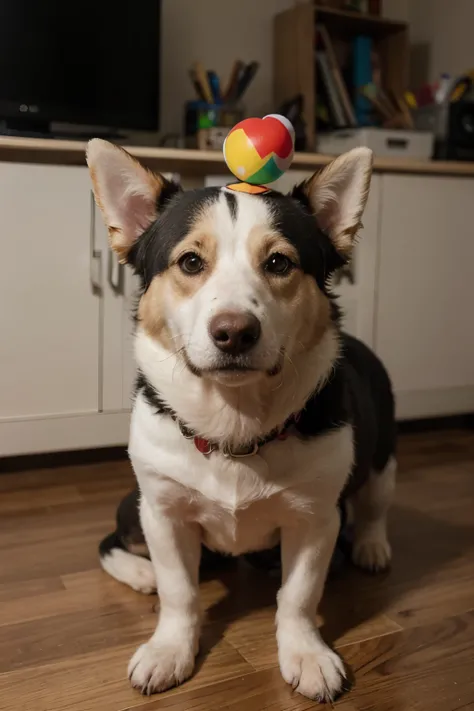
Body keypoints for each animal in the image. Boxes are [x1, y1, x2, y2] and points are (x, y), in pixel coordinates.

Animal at [87, 142, 394, 704]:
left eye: (279, 262)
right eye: (190, 261)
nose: (234, 332)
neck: (234, 423)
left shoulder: (316, 518)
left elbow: (298, 594)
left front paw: (306, 653)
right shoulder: (162, 510)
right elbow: (179, 591)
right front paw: (170, 647)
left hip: (383, 459)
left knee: (375, 504)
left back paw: (371, 545)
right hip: (135, 508)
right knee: (111, 542)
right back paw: (141, 572)